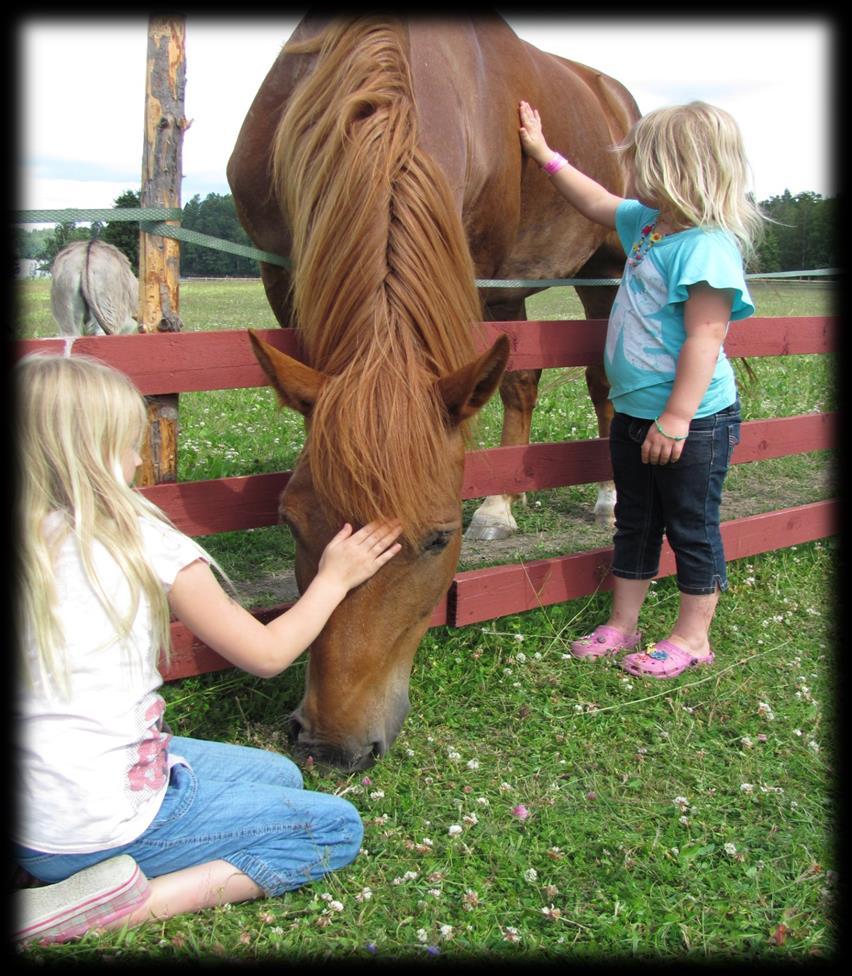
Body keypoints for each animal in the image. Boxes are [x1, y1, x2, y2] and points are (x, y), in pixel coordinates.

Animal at [226, 9, 640, 772]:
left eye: (437, 538)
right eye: (292, 521)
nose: (333, 744)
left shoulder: (475, 269)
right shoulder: (281, 269)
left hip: (603, 267)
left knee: (600, 379)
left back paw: (603, 497)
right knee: (522, 380)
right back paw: (505, 506)